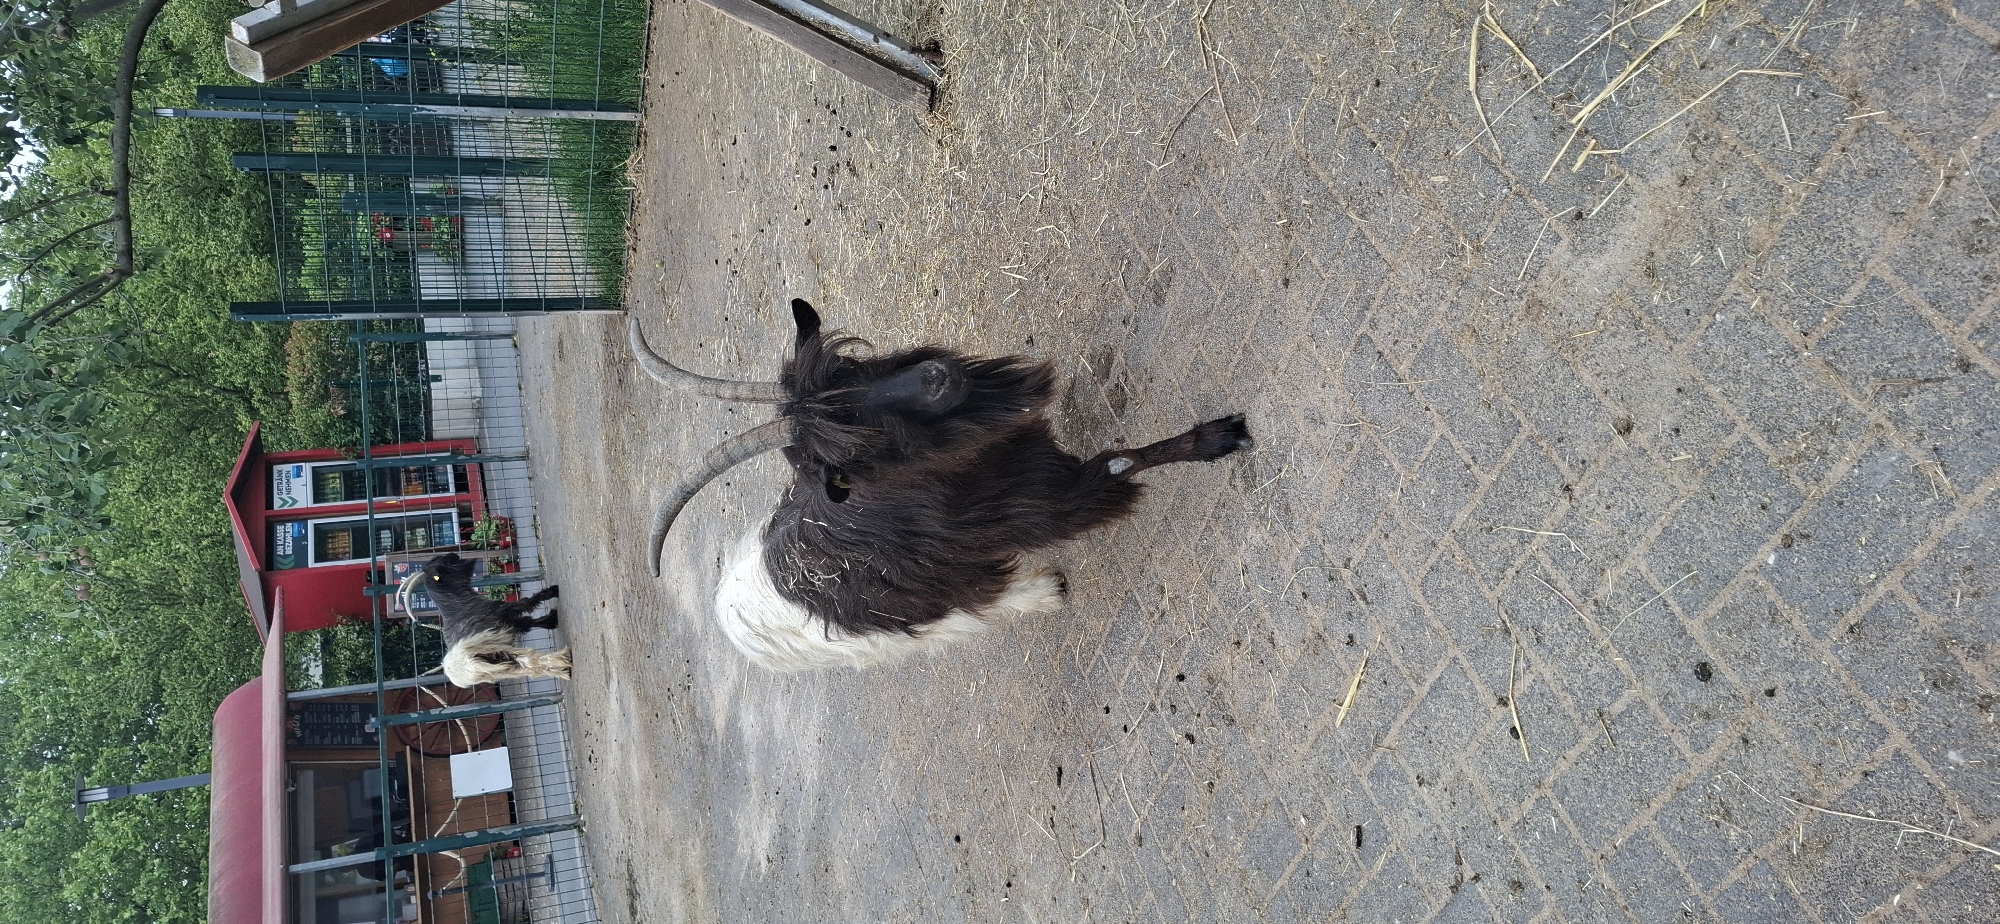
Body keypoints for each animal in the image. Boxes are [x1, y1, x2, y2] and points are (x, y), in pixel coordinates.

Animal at [398, 553, 569, 687]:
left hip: (501, 668)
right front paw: (553, 598)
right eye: (443, 562)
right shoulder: (505, 614)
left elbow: (530, 621)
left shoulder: (508, 623)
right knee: (528, 660)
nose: (454, 553)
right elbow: (527, 605)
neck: (458, 605)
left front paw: (550, 620)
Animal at [632, 299, 1251, 670]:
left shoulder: (1036, 462)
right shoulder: (1038, 504)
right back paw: (1043, 592)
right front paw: (1221, 439)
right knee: (977, 605)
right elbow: (1119, 464)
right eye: (849, 450)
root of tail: (728, 607)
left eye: (851, 370)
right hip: (911, 622)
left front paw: (1220, 433)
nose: (938, 376)